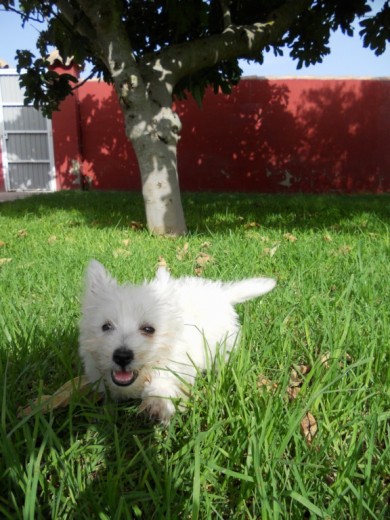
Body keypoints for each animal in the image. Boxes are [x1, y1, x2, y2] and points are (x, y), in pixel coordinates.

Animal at [77, 260, 276, 422]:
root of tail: (222, 293)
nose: (122, 356)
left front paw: (158, 404)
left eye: (149, 329)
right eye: (106, 326)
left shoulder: (176, 363)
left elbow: (163, 382)